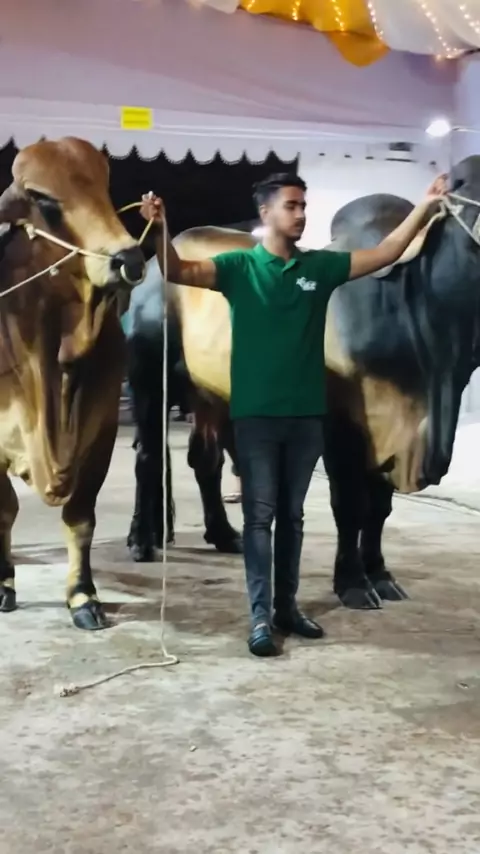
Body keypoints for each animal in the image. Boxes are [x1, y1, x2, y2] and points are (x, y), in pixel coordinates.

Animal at [0, 136, 145, 630]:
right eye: (42, 199)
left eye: (104, 186)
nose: (128, 258)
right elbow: (4, 511)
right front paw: (4, 585)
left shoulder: (101, 433)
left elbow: (80, 517)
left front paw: (83, 596)